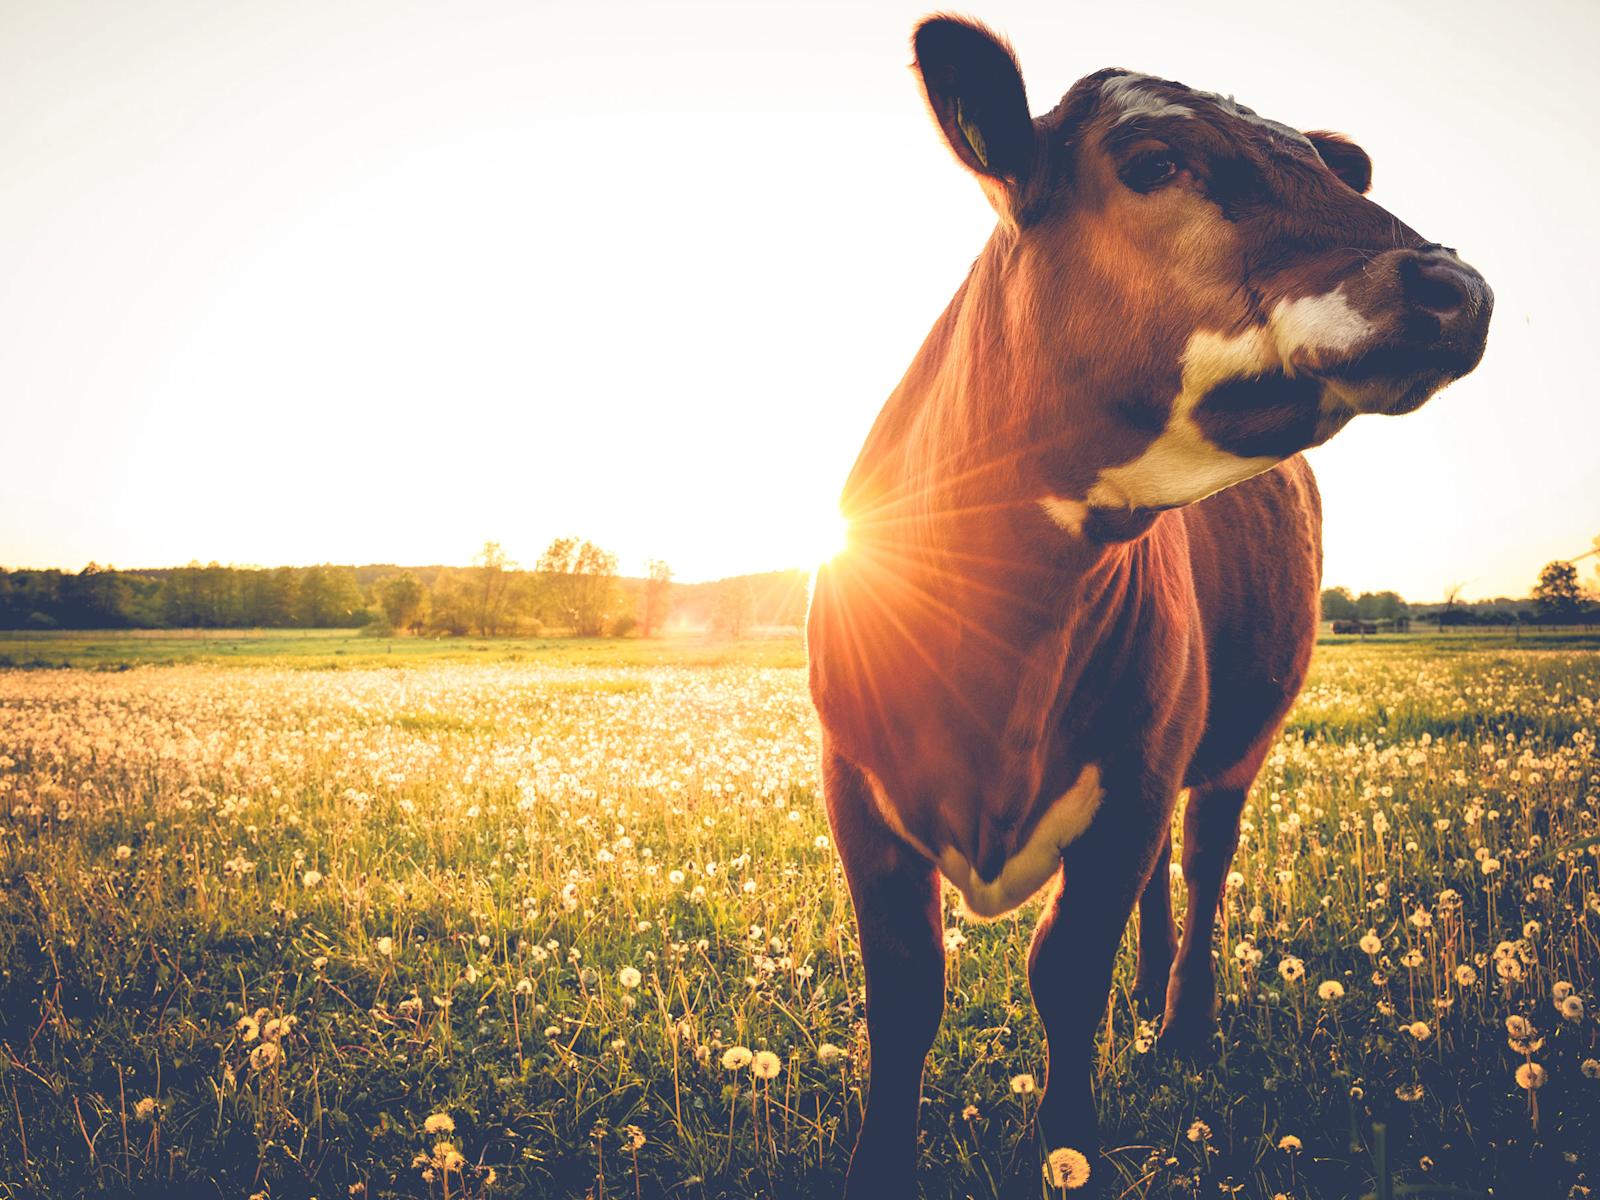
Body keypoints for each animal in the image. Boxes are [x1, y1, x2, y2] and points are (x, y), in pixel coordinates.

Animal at [806, 14, 1491, 1196]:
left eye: (1322, 166)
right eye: (1154, 162)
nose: (1456, 288)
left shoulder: (1132, 775)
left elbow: (1066, 970)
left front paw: (1070, 1145)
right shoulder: (856, 779)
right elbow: (905, 989)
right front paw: (881, 1163)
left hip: (1233, 735)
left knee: (1204, 856)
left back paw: (1179, 1025)